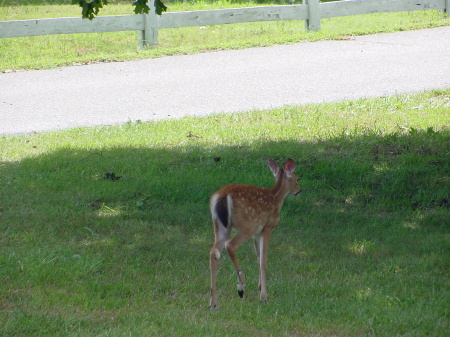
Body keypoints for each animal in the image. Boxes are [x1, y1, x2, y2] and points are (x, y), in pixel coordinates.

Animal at [209, 158, 300, 308]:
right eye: (298, 178)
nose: (299, 190)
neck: (276, 199)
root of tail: (223, 195)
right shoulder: (267, 228)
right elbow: (263, 259)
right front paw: (263, 296)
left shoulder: (257, 233)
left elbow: (258, 258)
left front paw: (259, 286)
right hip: (246, 226)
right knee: (230, 245)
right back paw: (241, 284)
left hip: (220, 225)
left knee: (213, 252)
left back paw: (213, 302)